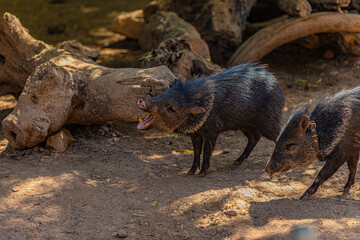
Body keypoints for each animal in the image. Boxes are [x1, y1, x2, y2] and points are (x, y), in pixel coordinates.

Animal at [137, 63, 284, 176]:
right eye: (164, 94)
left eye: (171, 108)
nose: (143, 101)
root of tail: (277, 84)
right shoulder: (195, 134)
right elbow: (197, 152)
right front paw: (190, 172)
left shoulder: (212, 132)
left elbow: (207, 152)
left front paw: (202, 173)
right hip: (245, 124)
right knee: (254, 138)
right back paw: (237, 161)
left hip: (268, 122)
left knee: (278, 135)